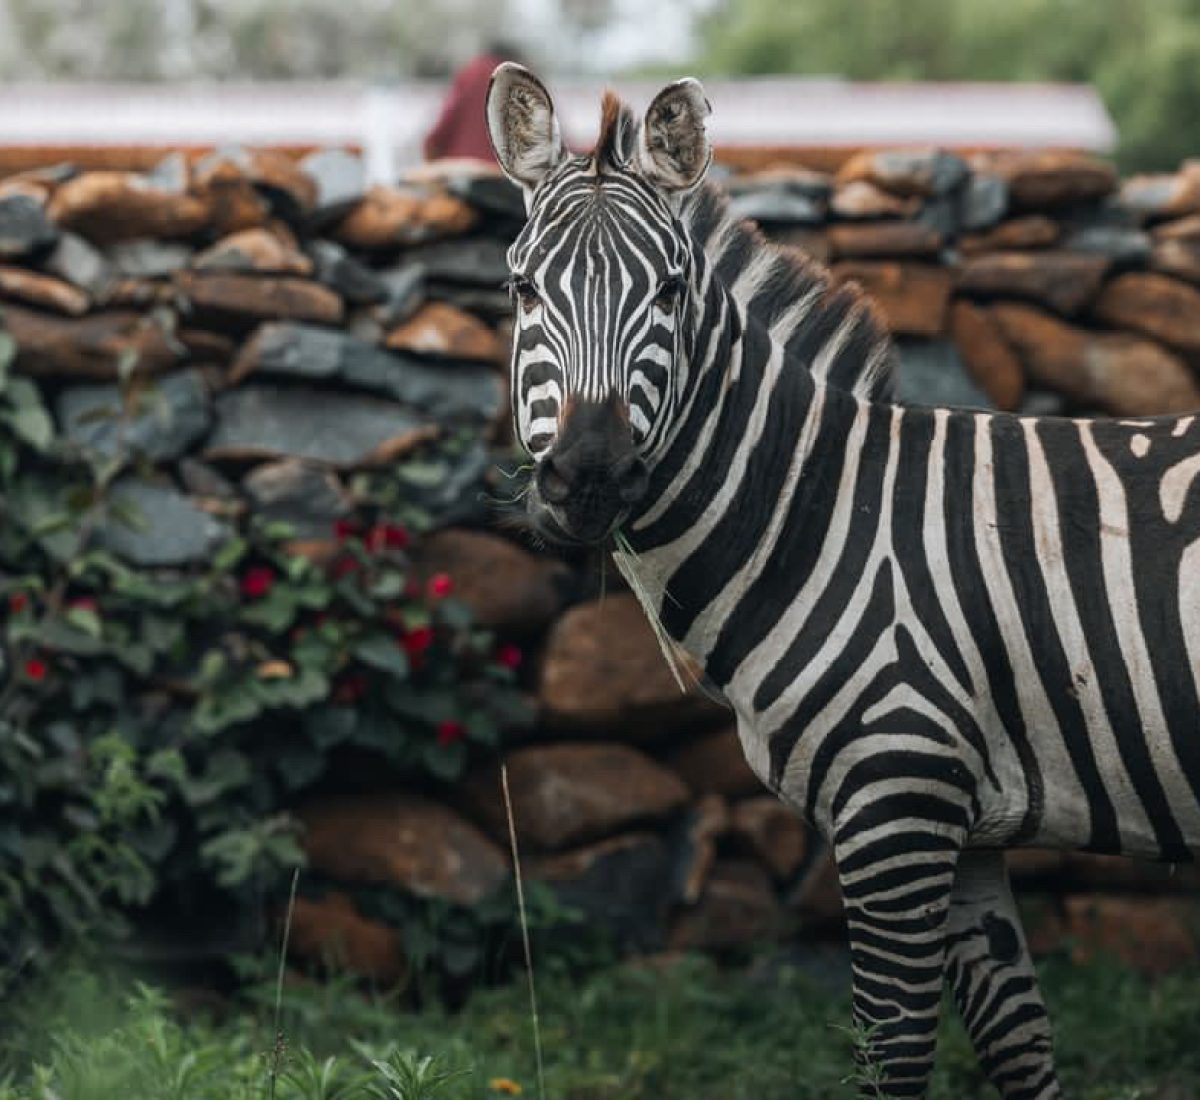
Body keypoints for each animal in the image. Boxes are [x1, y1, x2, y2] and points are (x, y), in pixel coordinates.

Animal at [485, 64, 1200, 1098]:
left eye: (669, 289)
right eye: (522, 286)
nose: (589, 476)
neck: (823, 517)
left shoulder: (895, 798)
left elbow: (891, 1053)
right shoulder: (968, 823)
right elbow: (1017, 1042)